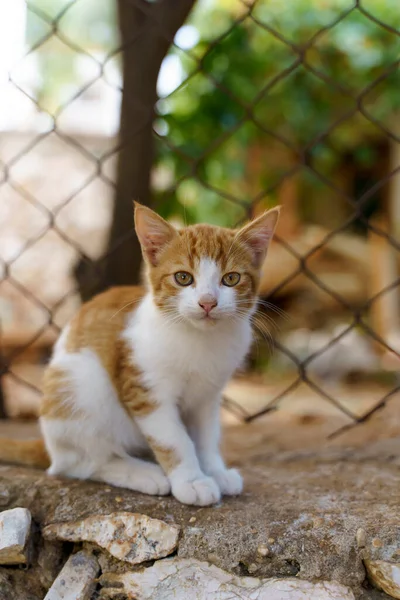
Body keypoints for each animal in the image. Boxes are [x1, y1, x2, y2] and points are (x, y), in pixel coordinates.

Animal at [0, 203, 280, 506]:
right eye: (183, 278)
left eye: (231, 278)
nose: (208, 302)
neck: (201, 340)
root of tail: (48, 446)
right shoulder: (144, 388)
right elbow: (174, 438)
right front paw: (192, 481)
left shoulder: (208, 395)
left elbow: (206, 436)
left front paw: (215, 471)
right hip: (80, 385)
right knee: (78, 462)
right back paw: (142, 473)